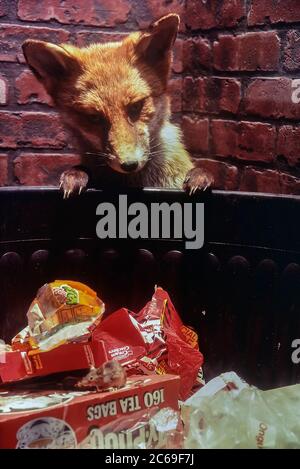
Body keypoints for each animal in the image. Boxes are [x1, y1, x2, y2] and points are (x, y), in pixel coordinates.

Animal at [21, 12, 213, 196]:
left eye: (136, 106)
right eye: (94, 117)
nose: (129, 164)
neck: (133, 182)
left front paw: (199, 175)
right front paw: (76, 174)